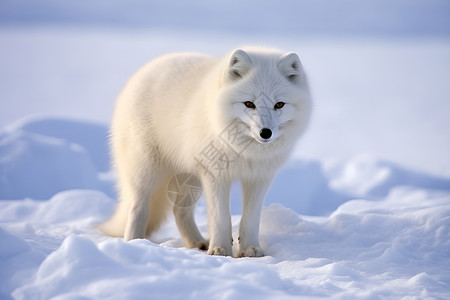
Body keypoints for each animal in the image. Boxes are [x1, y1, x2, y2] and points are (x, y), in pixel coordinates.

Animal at [97, 47, 312, 258]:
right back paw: (134, 243)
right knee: (138, 207)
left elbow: (251, 218)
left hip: (191, 180)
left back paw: (197, 243)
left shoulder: (259, 178)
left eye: (279, 104)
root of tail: (143, 71)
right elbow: (220, 217)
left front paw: (250, 250)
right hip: (146, 171)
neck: (246, 153)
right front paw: (220, 250)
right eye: (249, 104)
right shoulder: (215, 176)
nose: (265, 133)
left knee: (179, 211)